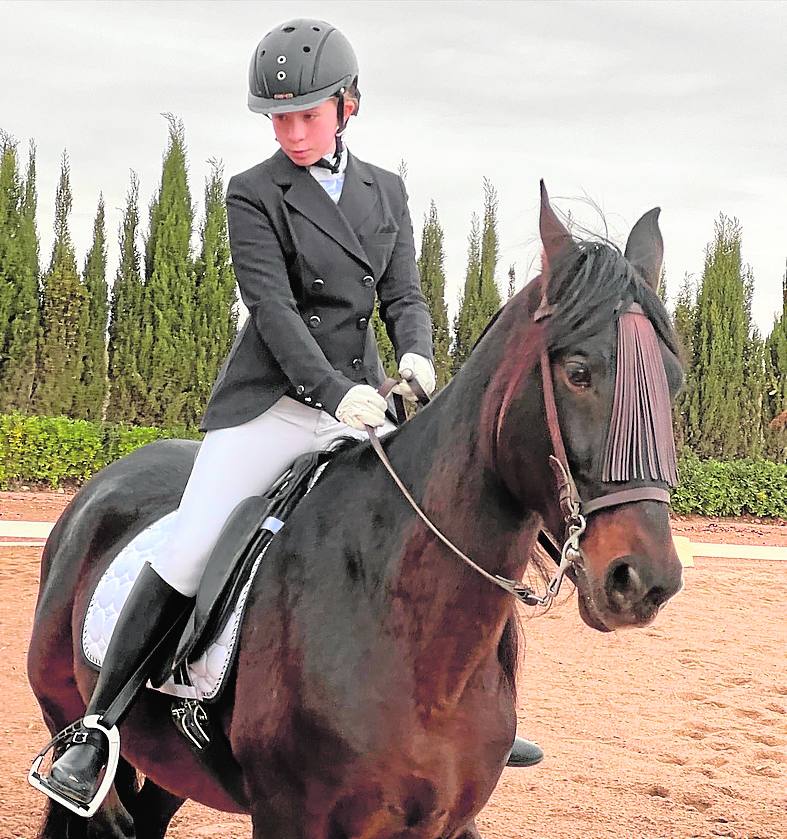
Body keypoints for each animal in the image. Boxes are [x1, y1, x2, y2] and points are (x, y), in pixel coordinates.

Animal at [27, 185, 688, 839]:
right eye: (578, 372)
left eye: (673, 383)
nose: (644, 581)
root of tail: (106, 482)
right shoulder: (289, 817)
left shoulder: (448, 822)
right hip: (66, 707)